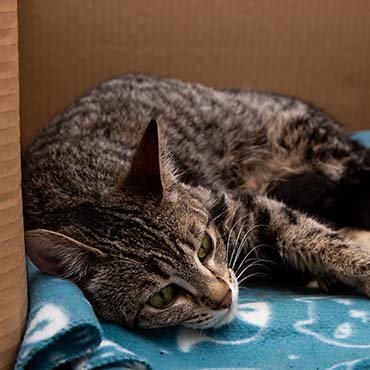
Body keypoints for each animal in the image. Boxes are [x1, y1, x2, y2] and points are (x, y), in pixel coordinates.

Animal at [22, 73, 370, 328]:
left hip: (319, 147)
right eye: (162, 297)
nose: (225, 298)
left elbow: (318, 238)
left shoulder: (241, 207)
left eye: (204, 247)